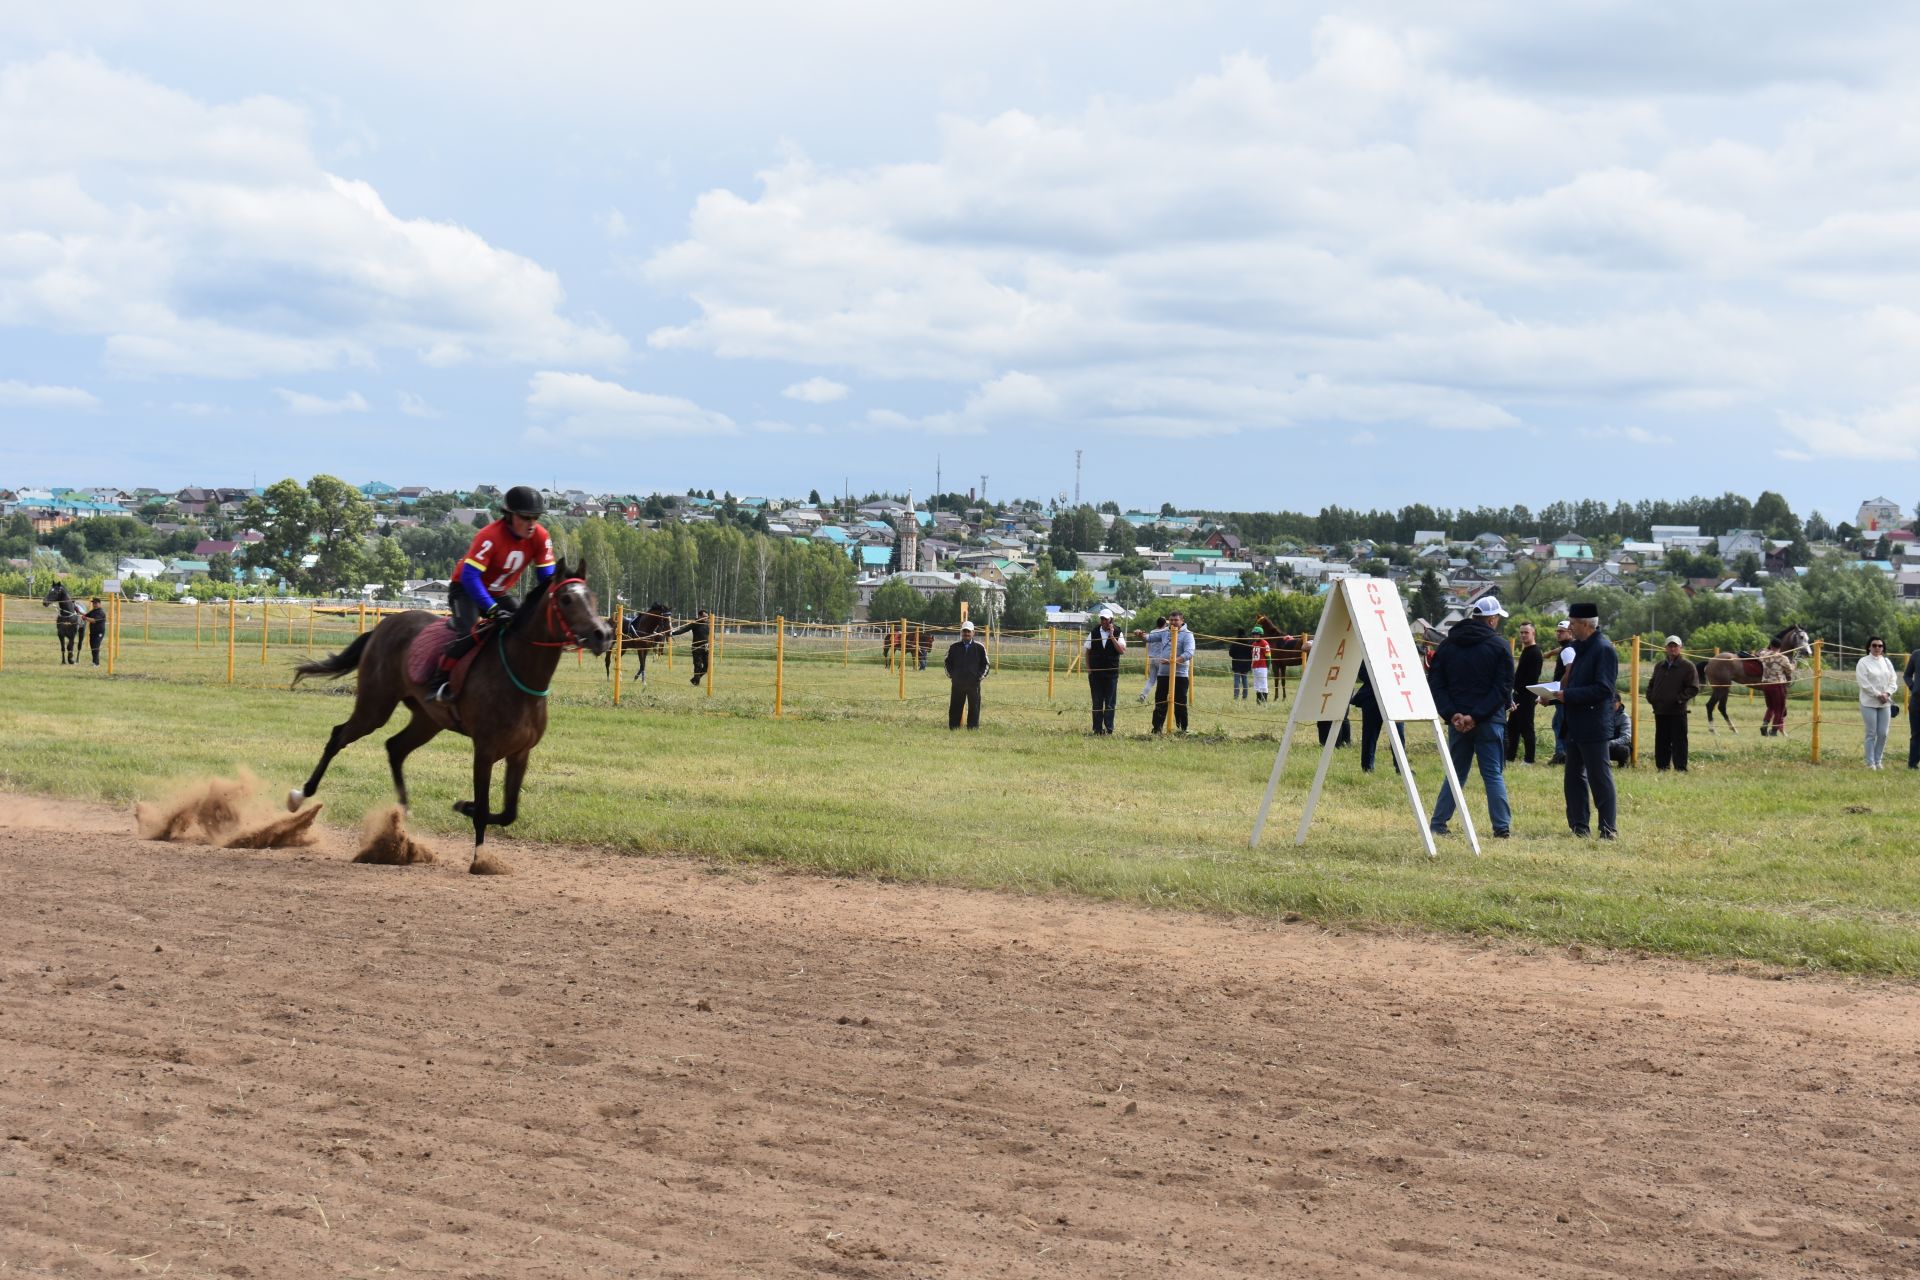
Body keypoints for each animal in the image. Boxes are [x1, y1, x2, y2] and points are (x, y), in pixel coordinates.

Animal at [284, 556, 606, 871]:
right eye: (566, 599)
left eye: (592, 597)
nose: (602, 634)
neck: (518, 672)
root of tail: (384, 625)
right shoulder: (484, 750)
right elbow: (485, 808)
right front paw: (480, 858)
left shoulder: (520, 752)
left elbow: (508, 812)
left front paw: (464, 806)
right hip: (375, 706)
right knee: (339, 736)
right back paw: (300, 796)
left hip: (427, 720)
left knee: (395, 747)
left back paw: (402, 818)